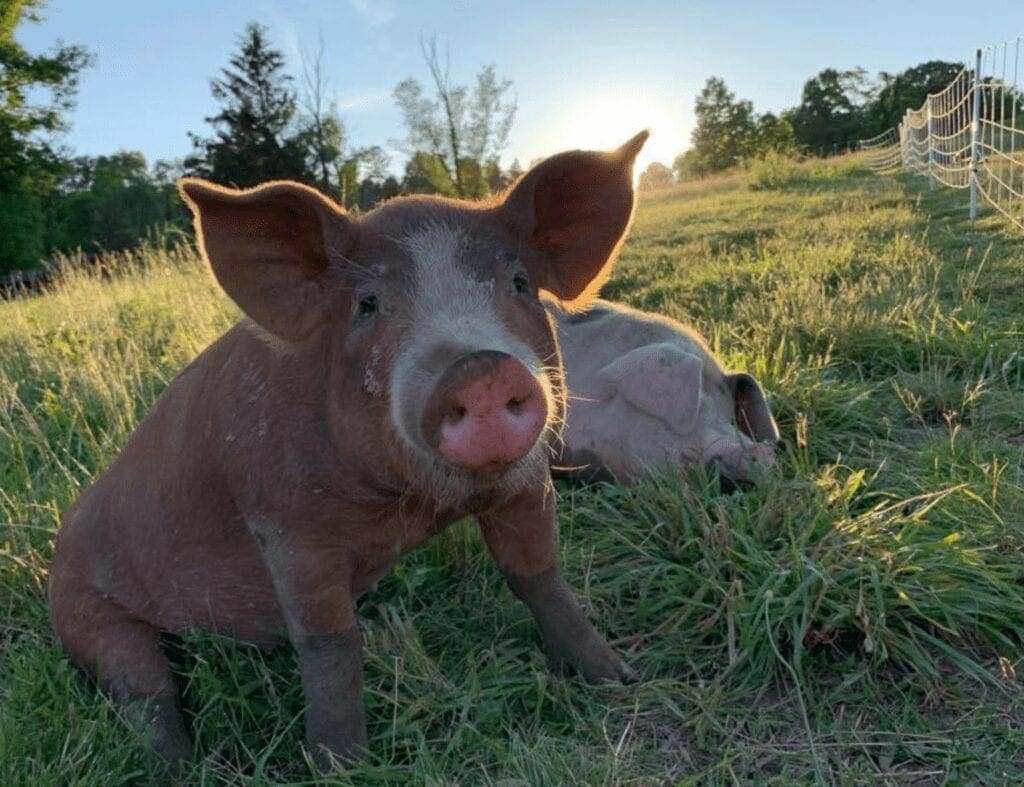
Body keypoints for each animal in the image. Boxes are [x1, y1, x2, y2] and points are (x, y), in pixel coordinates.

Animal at [48, 132, 647, 769]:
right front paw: (339, 765)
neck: (410, 508)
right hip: (87, 616)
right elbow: (330, 645)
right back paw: (186, 768)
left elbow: (539, 577)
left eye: (519, 284)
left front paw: (617, 678)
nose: (479, 367)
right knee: (145, 693)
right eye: (367, 303)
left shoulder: (526, 481)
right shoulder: (285, 527)